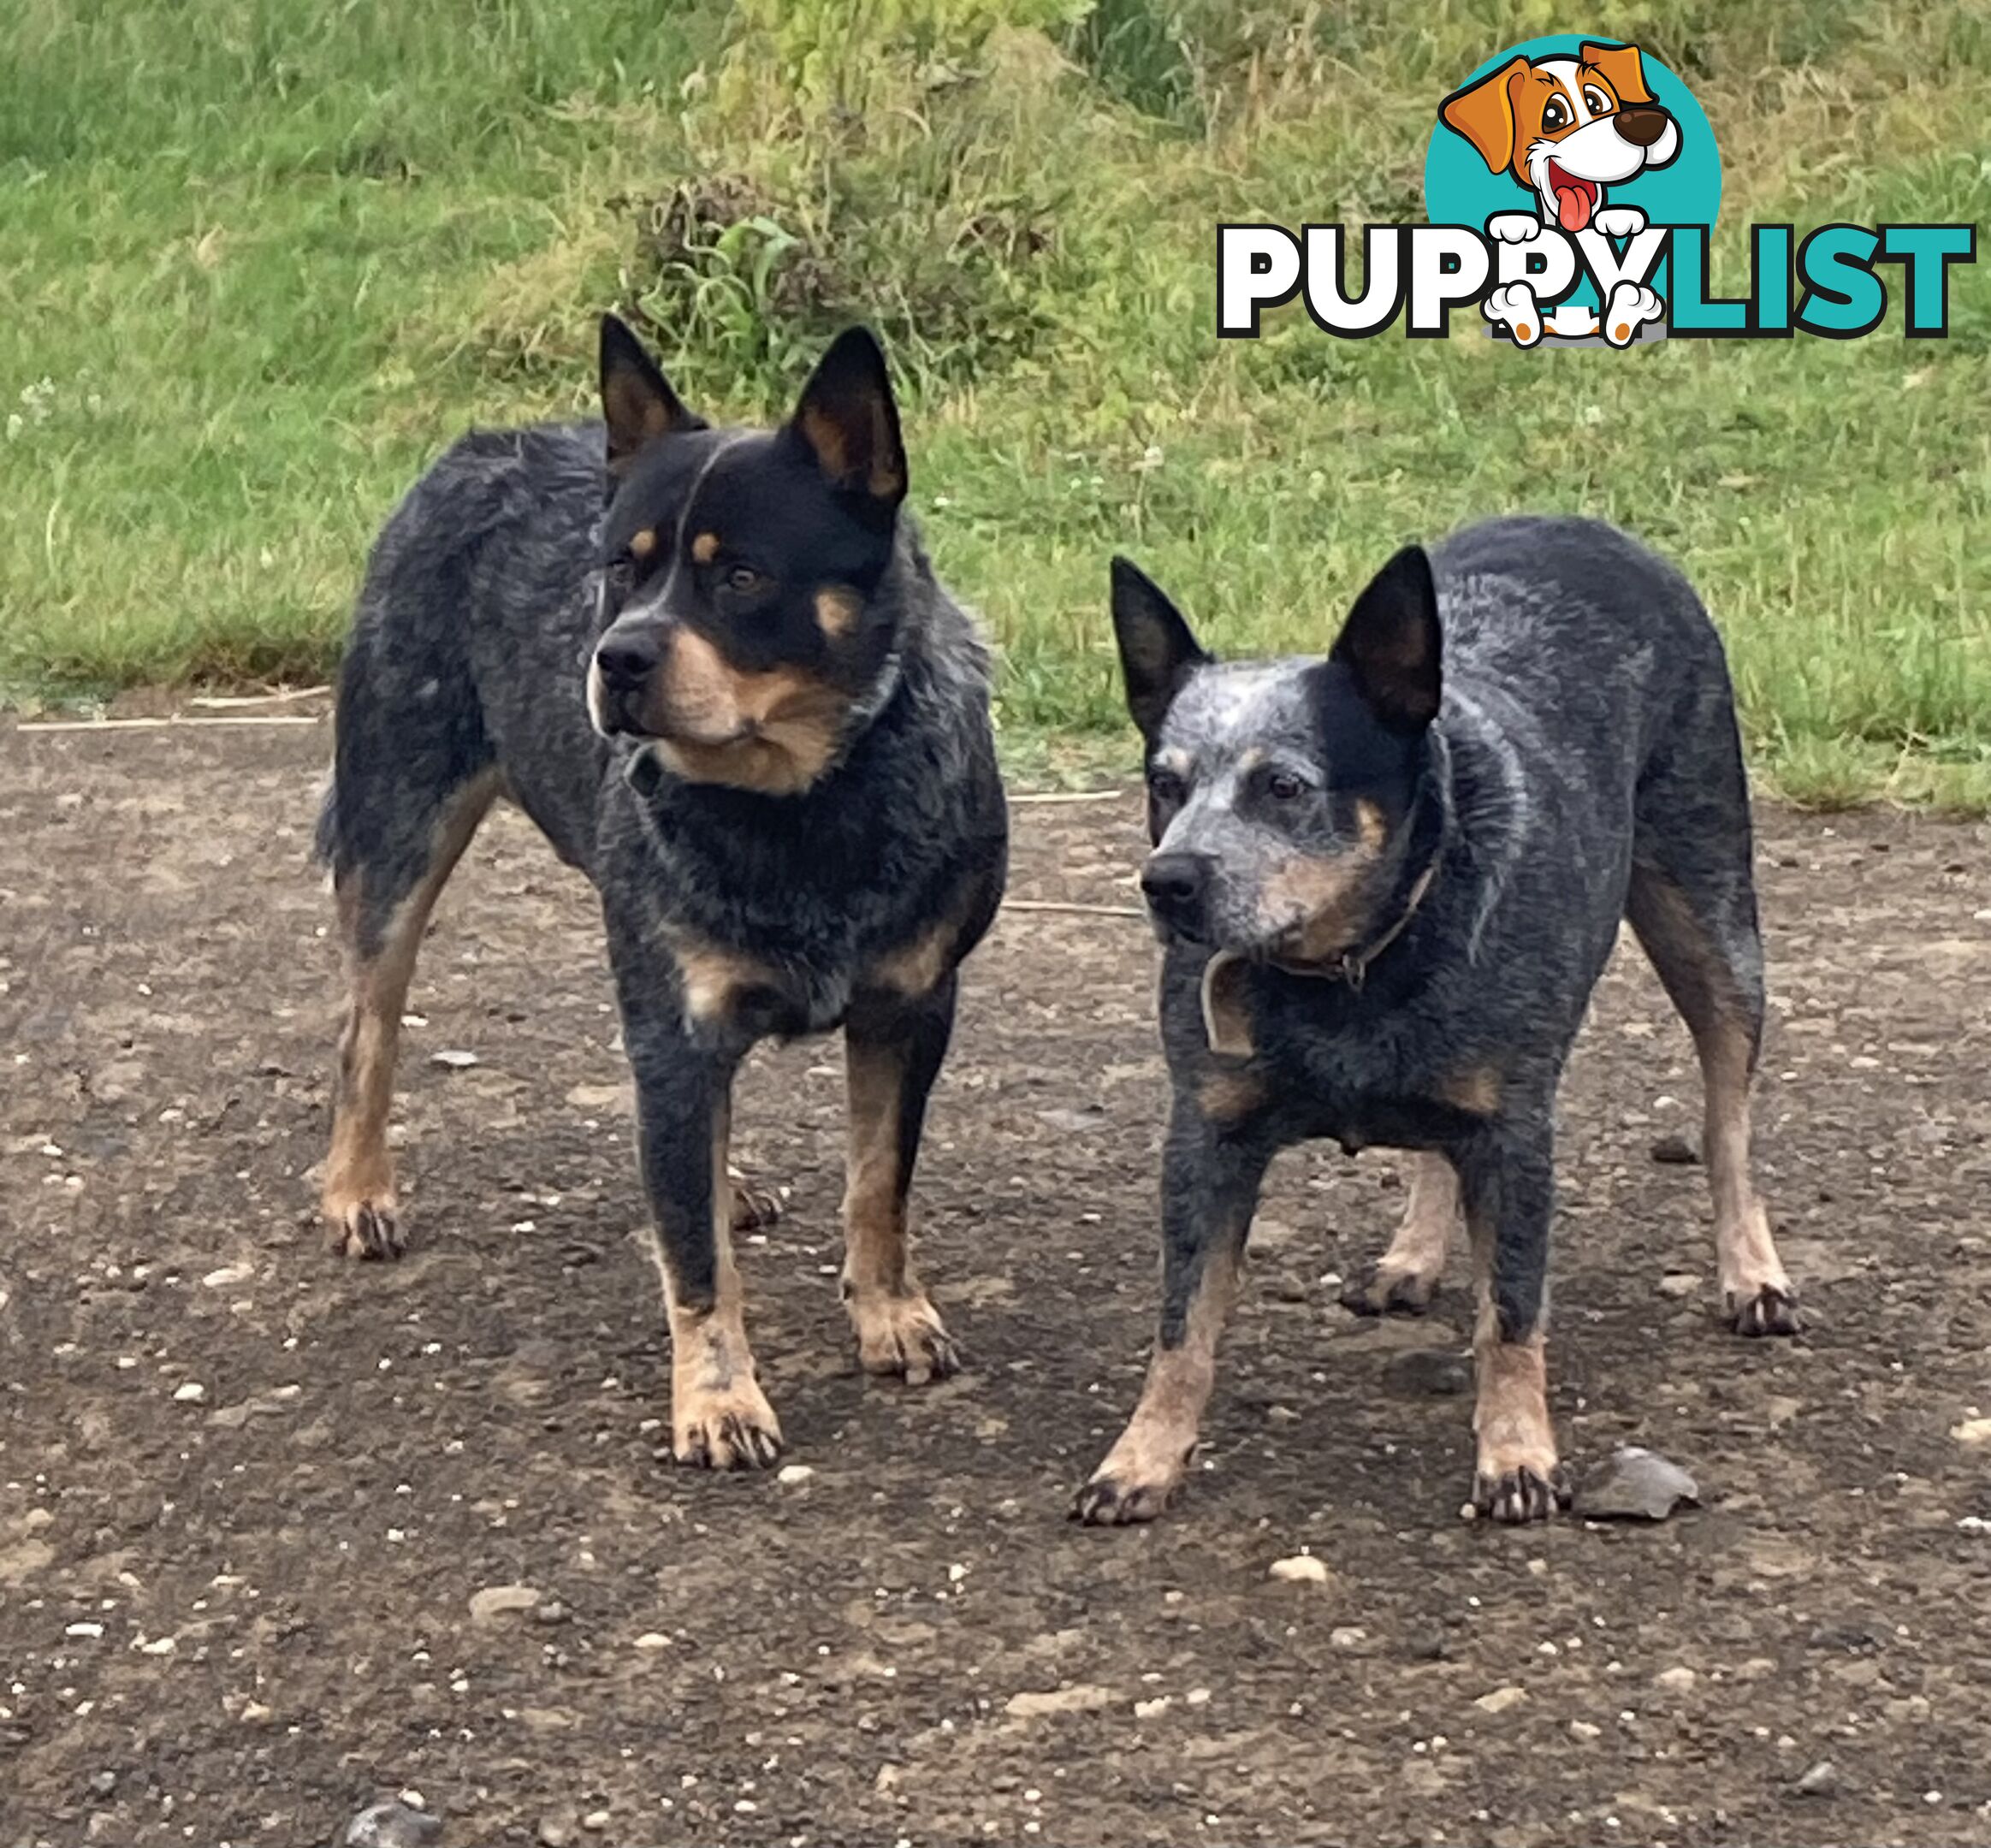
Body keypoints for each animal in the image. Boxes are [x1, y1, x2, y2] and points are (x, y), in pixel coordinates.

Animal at [326, 320, 1019, 1473]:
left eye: (739, 575)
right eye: (620, 566)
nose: (615, 658)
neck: (799, 811)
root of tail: (478, 442)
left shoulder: (911, 1006)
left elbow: (878, 1184)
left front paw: (888, 1314)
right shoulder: (673, 1020)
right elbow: (693, 1263)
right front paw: (718, 1397)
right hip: (395, 824)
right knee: (366, 1028)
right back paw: (354, 1189)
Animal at [1082, 513, 1799, 1521]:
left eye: (1283, 786)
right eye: (1164, 783)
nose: (1167, 881)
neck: (1349, 972)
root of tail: (1578, 521)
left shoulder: (1514, 1137)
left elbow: (1511, 1314)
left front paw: (1516, 1453)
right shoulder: (1205, 1138)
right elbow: (1181, 1324)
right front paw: (1141, 1456)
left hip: (1711, 919)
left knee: (1724, 1114)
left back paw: (1750, 1271)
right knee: (1432, 1141)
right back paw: (1413, 1254)